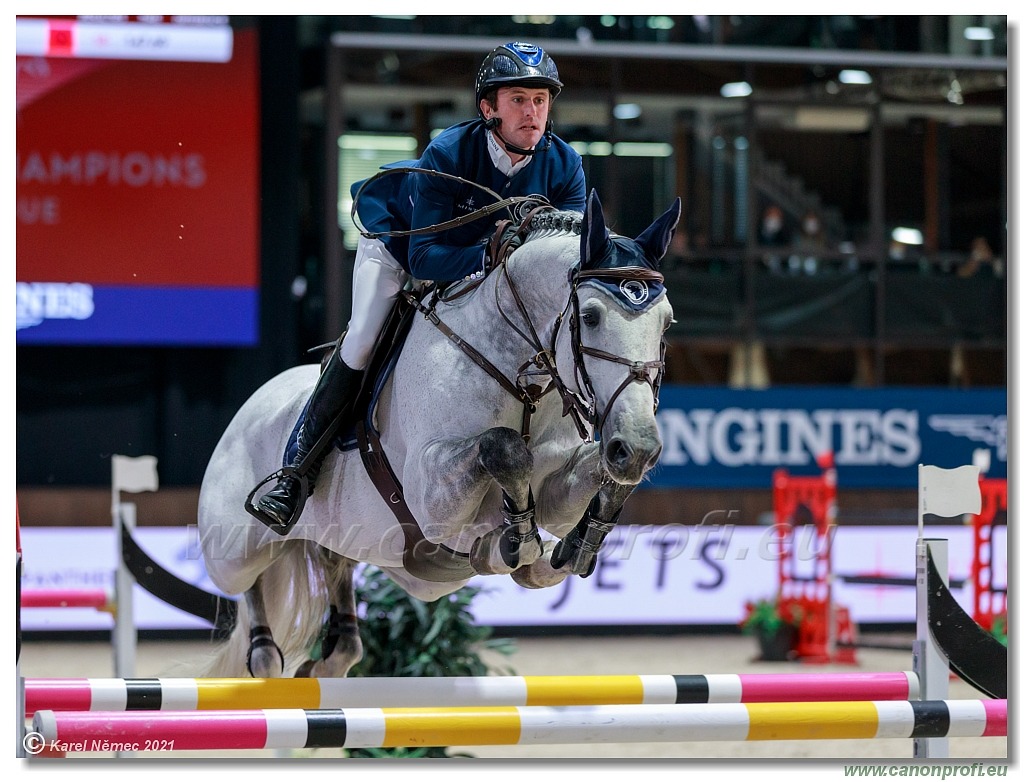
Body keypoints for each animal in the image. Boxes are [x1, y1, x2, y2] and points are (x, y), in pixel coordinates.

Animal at [197, 191, 679, 679]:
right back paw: (265, 635)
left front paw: (577, 542)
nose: (637, 448)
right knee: (249, 588)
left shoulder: (556, 489)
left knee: (337, 576)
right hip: (233, 550)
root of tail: (249, 408)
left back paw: (331, 654)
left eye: (667, 323)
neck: (520, 375)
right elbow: (502, 446)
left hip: (376, 556)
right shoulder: (431, 495)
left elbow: (584, 479)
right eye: (591, 317)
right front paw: (517, 543)